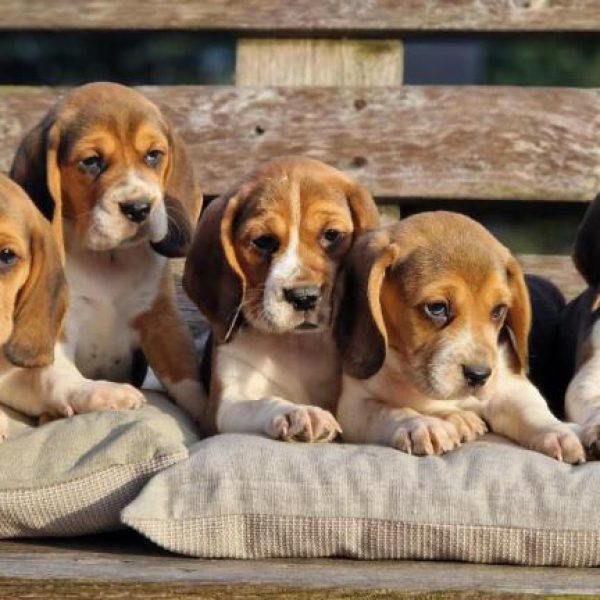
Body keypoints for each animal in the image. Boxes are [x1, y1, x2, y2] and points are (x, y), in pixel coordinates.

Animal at [9, 83, 204, 422]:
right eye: (91, 161)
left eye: (153, 156)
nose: (138, 208)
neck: (108, 258)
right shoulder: (60, 327)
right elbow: (58, 376)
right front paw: (100, 394)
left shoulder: (161, 320)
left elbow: (187, 380)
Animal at [184, 157, 380, 442]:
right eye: (263, 241)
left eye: (332, 235)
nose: (304, 297)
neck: (295, 344)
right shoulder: (222, 407)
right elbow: (262, 402)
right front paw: (298, 412)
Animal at [338, 212, 584, 464]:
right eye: (437, 308)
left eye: (498, 311)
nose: (479, 375)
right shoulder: (353, 405)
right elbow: (388, 410)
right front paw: (420, 425)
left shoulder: (512, 386)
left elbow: (532, 411)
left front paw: (558, 432)